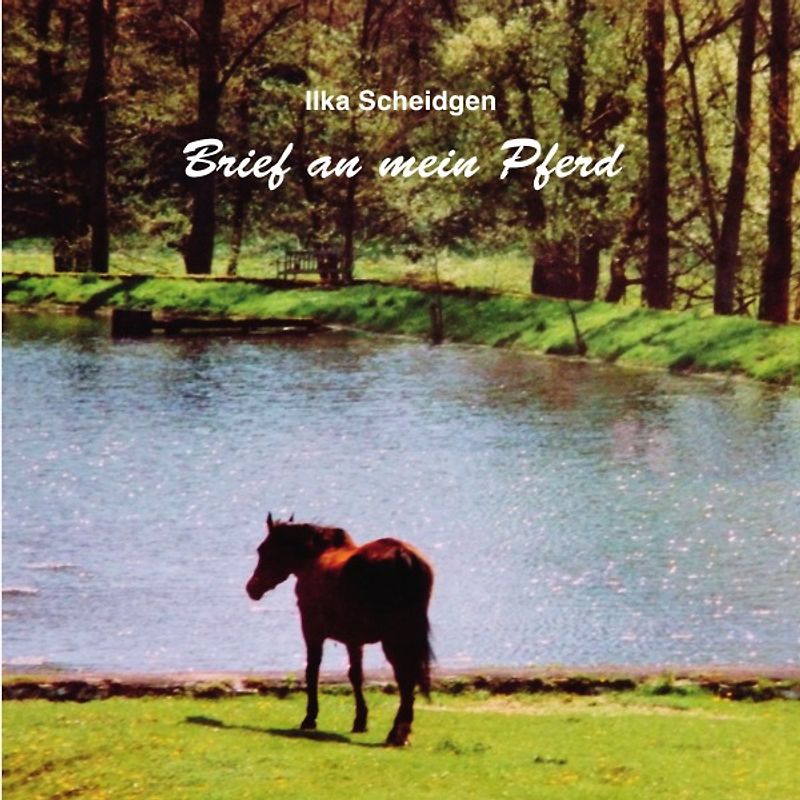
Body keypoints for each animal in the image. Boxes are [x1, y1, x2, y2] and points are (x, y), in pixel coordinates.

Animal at [246, 514, 434, 746]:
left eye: (263, 549)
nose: (252, 588)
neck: (315, 558)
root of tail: (403, 556)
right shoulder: (354, 639)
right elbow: (356, 675)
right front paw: (360, 720)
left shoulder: (312, 631)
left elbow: (312, 671)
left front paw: (310, 718)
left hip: (394, 638)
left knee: (405, 678)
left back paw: (397, 733)